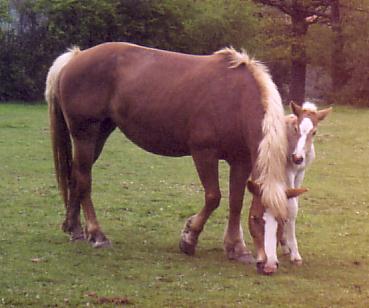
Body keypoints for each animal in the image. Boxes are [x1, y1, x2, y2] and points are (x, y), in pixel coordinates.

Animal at [45, 42, 288, 274]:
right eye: (257, 219)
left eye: (284, 221)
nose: (268, 266)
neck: (236, 98)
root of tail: (76, 57)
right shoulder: (204, 153)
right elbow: (213, 197)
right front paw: (189, 238)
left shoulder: (241, 161)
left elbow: (235, 202)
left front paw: (236, 248)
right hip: (85, 135)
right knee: (84, 179)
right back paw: (96, 234)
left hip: (100, 134)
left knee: (75, 177)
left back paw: (74, 229)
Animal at [280, 101, 332, 264]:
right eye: (296, 128)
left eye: (314, 132)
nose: (297, 158)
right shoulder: (288, 172)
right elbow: (292, 207)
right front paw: (295, 253)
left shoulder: (300, 173)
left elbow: (291, 201)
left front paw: (287, 246)